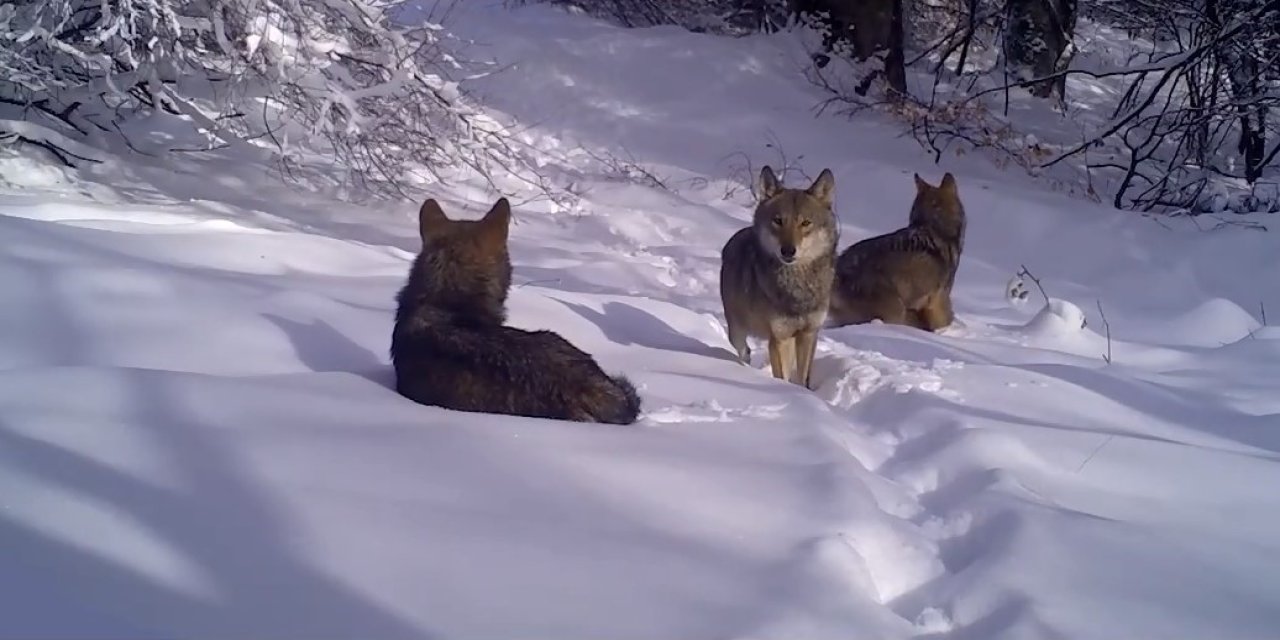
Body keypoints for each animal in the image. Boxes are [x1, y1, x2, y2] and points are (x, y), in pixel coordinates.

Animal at [721, 165, 839, 386]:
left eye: (805, 223)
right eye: (778, 221)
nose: (788, 250)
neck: (797, 288)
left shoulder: (808, 334)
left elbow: (802, 378)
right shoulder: (779, 338)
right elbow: (782, 376)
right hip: (737, 330)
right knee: (744, 350)